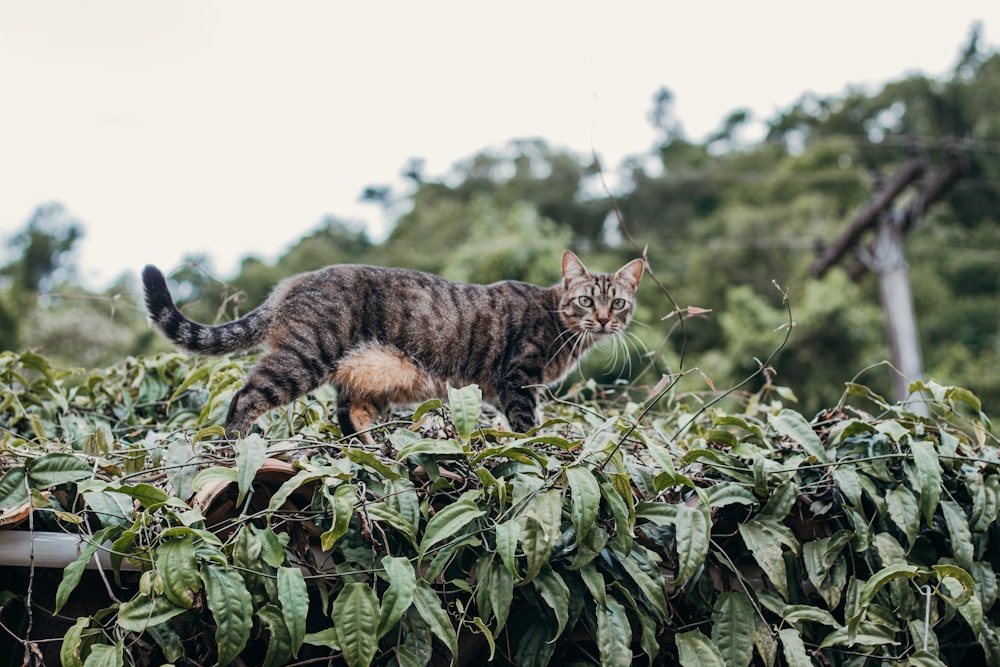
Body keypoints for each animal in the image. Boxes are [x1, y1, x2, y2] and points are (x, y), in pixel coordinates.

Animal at [141, 250, 644, 438]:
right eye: (586, 300)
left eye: (618, 302)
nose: (603, 320)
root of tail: (293, 282)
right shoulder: (517, 381)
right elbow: (526, 426)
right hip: (304, 357)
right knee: (244, 397)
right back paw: (236, 444)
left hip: (362, 379)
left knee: (349, 418)